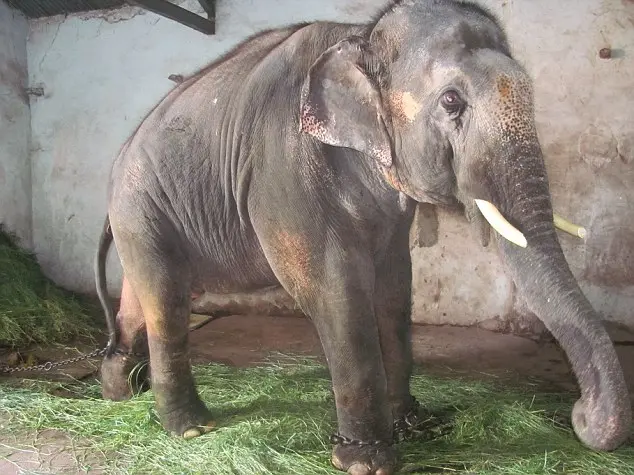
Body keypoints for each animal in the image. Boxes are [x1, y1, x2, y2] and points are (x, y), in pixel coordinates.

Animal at [94, 0, 628, 474]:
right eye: (451, 101)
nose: (579, 415)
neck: (362, 39)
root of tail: (119, 159)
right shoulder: (283, 169)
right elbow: (334, 289)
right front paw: (365, 462)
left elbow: (394, 288)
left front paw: (416, 424)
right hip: (141, 206)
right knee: (167, 300)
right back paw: (190, 428)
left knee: (143, 297)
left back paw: (119, 388)